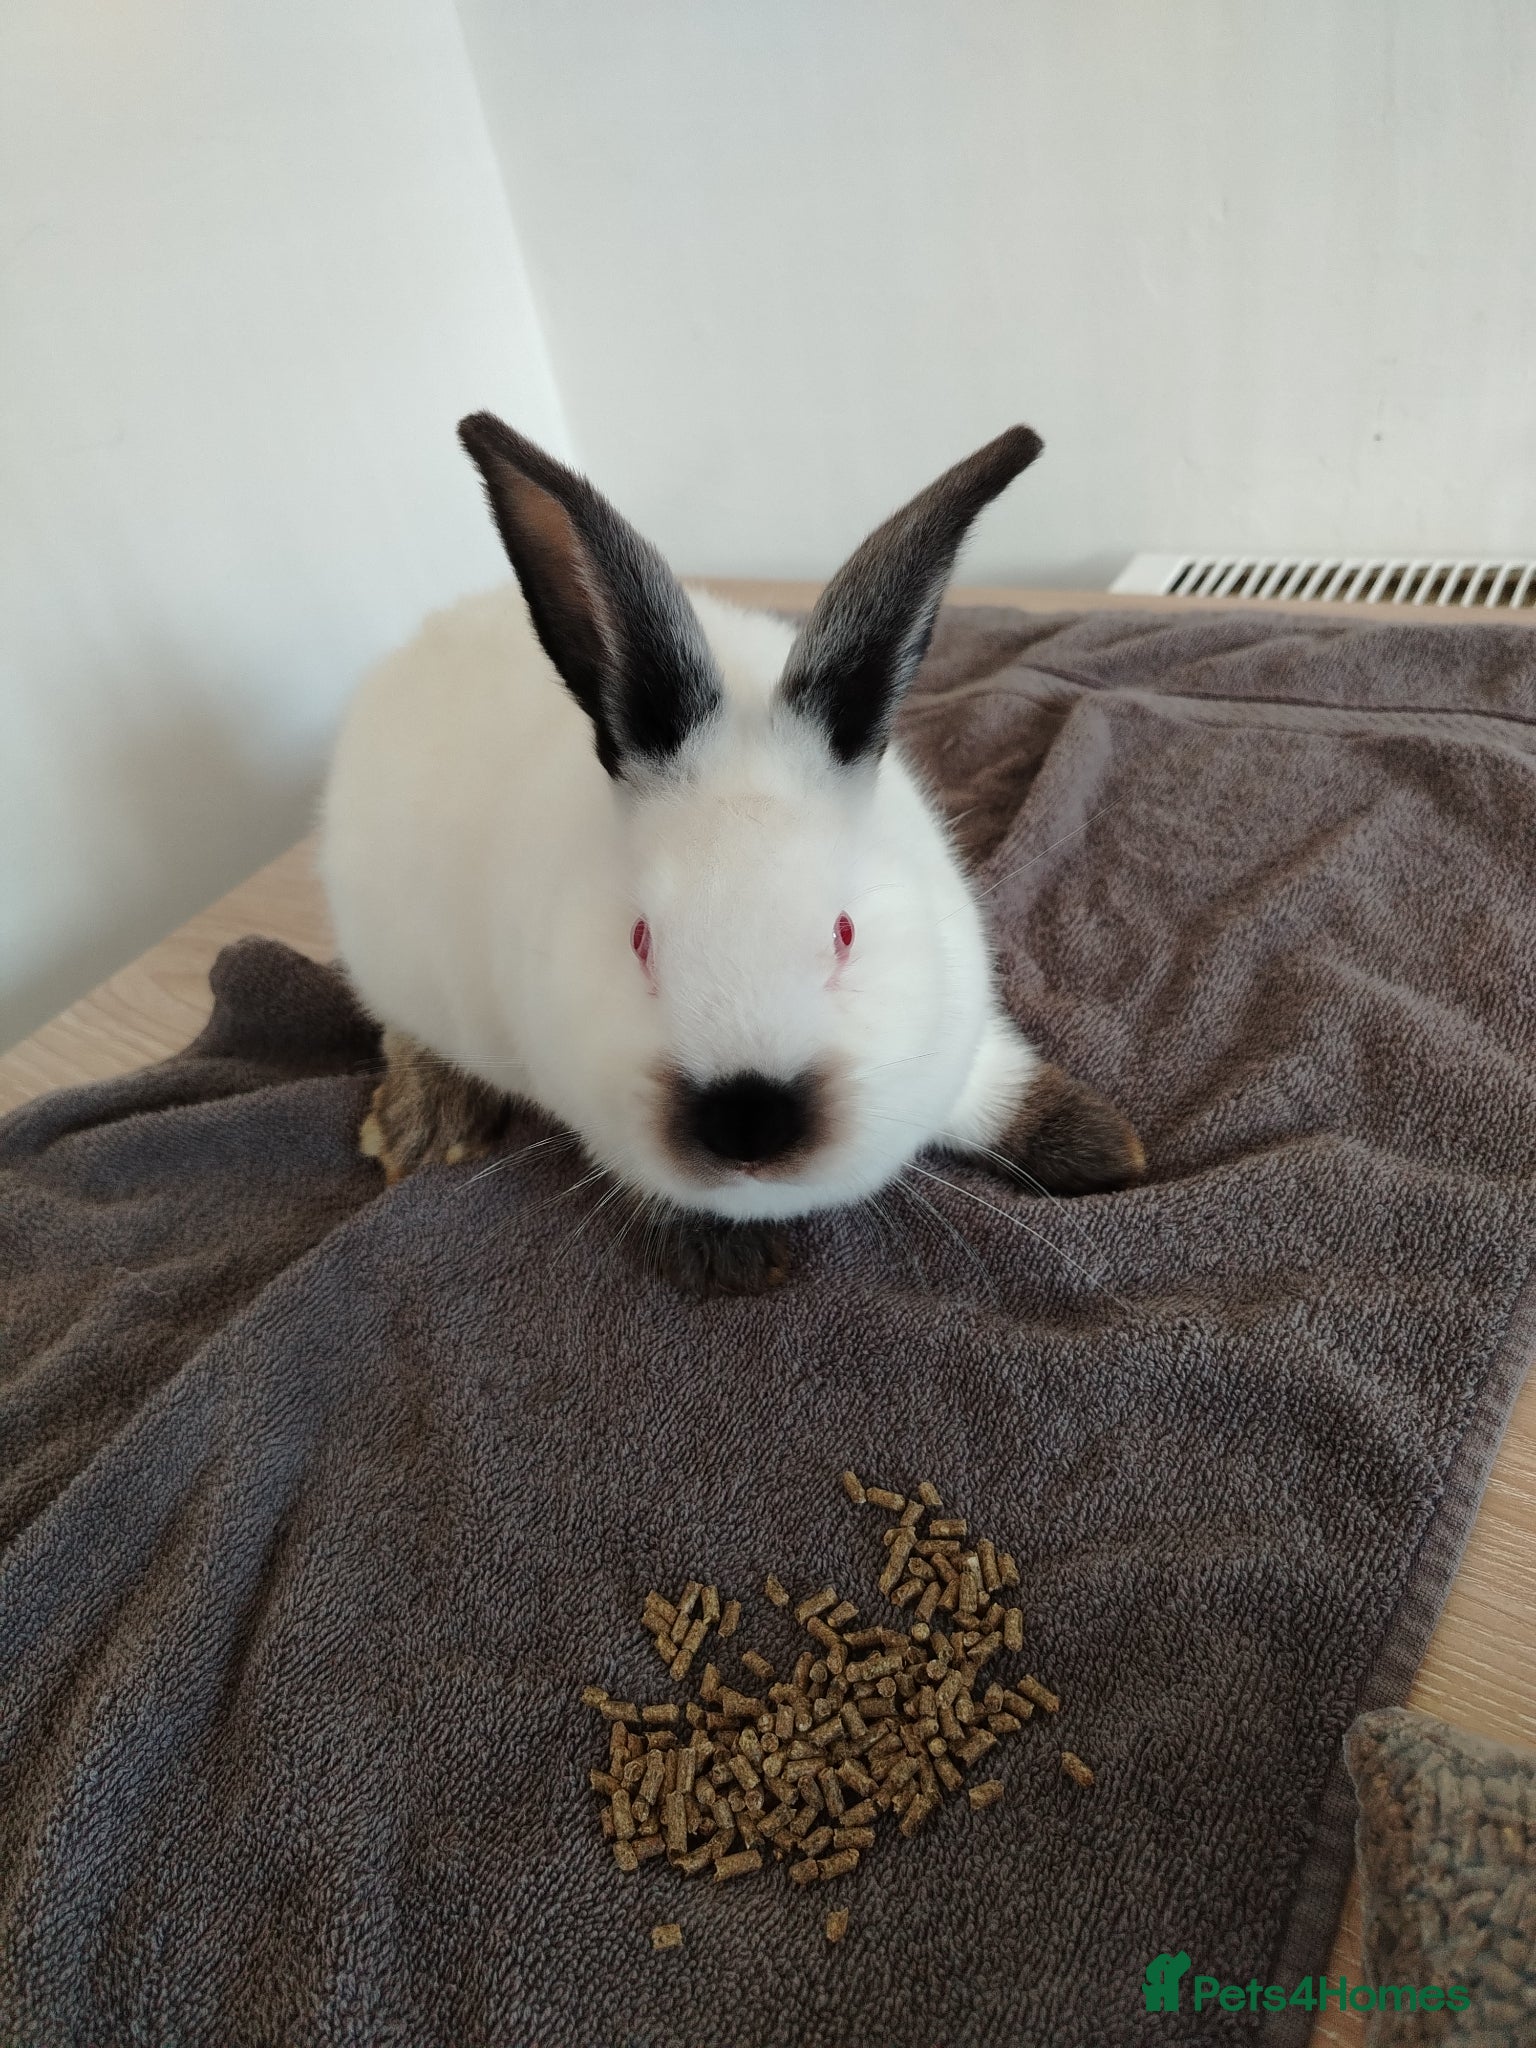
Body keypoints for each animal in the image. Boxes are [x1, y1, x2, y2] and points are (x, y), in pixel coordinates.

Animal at [319, 414, 1143, 1297]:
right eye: (641, 940)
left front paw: (1105, 1146)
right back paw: (421, 1128)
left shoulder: (958, 1036)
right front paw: (733, 1258)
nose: (748, 1123)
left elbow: (992, 1087)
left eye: (846, 932)